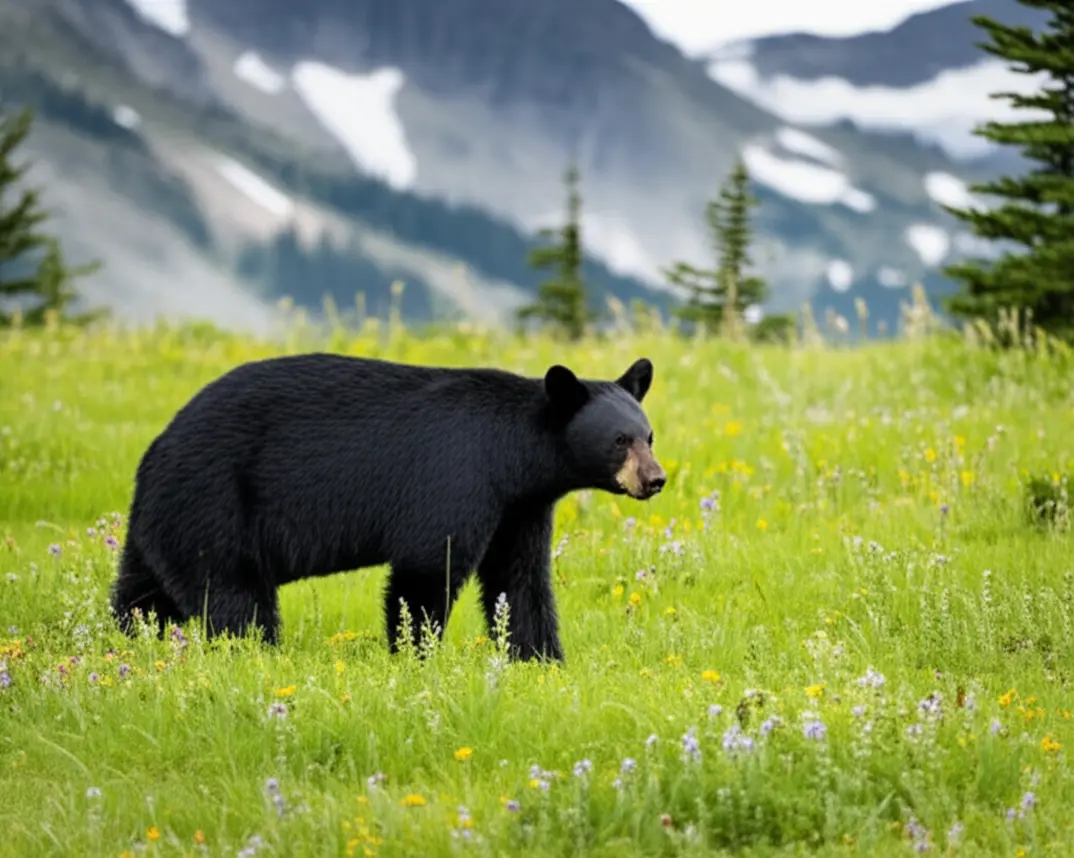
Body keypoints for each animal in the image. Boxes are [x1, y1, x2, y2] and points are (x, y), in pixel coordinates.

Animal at [110, 353, 665, 661]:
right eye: (620, 440)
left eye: (649, 435)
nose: (655, 479)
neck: (515, 457)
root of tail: (152, 453)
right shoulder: (458, 475)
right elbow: (427, 570)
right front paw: (417, 653)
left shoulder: (520, 506)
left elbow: (520, 580)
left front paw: (541, 658)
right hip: (217, 505)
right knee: (232, 598)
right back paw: (255, 652)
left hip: (167, 523)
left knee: (142, 593)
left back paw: (122, 641)